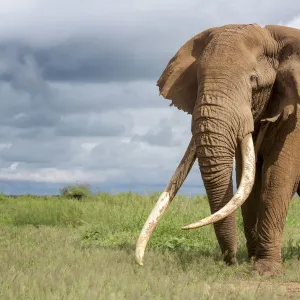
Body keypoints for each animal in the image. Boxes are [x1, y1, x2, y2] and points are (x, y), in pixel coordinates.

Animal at [135, 23, 300, 276]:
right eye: (197, 82)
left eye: (253, 80)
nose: (231, 261)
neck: (276, 38)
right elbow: (248, 179)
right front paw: (253, 261)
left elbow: (277, 177)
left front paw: (265, 271)